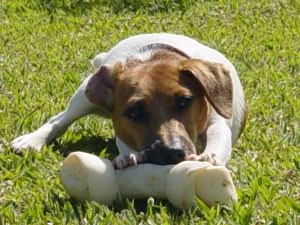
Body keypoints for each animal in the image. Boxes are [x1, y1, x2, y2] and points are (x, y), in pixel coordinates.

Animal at [10, 33, 247, 169]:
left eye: (184, 101)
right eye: (134, 112)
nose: (172, 152)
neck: (153, 57)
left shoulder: (217, 119)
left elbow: (218, 135)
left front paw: (208, 156)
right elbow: (123, 143)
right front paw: (129, 156)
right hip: (85, 96)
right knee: (59, 120)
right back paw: (31, 140)